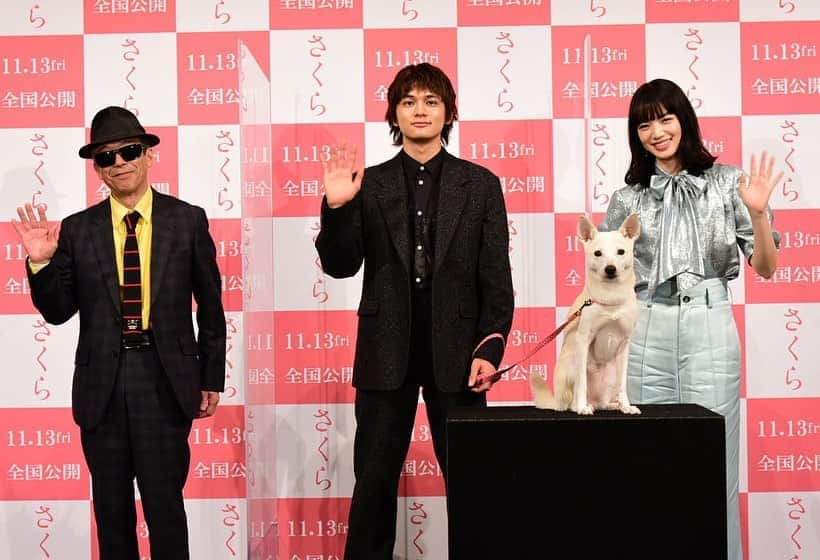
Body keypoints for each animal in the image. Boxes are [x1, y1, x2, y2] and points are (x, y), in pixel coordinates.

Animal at [532, 214, 640, 416]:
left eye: (621, 252)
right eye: (597, 253)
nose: (610, 269)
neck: (610, 298)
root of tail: (557, 401)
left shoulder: (624, 345)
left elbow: (623, 384)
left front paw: (626, 405)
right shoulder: (583, 340)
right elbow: (582, 383)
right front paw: (582, 407)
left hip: (610, 374)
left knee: (604, 401)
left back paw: (612, 404)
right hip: (571, 363)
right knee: (573, 399)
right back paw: (582, 405)